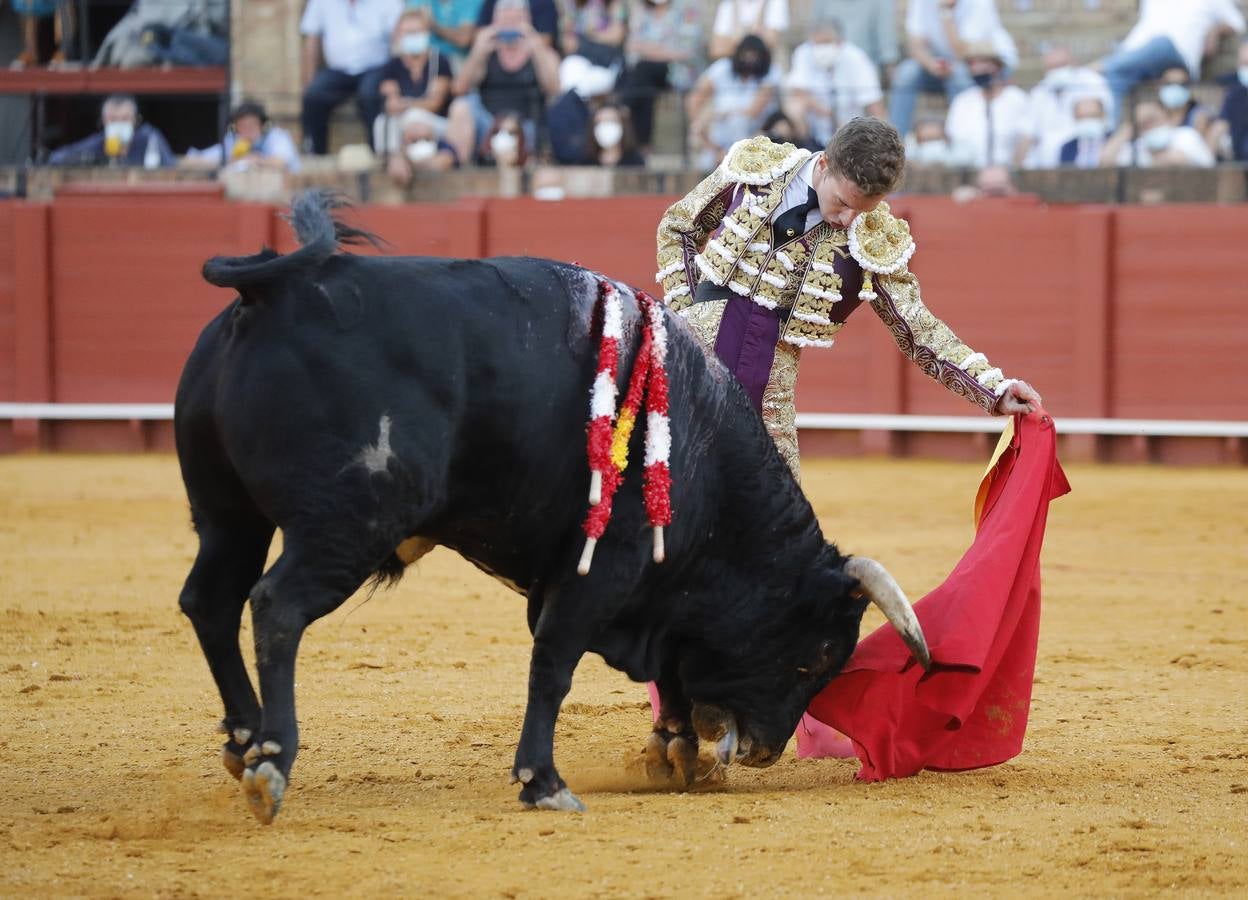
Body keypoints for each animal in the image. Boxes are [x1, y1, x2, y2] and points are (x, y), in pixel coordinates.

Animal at [175, 194, 928, 823]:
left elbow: (666, 666)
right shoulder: (603, 566)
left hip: (228, 516)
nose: (764, 750)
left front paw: (675, 749)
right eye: (816, 655)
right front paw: (544, 780)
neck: (702, 453)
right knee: (277, 606)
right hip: (347, 522)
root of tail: (279, 289)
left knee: (211, 601)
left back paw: (243, 743)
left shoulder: (647, 589)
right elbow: (555, 664)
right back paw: (272, 764)